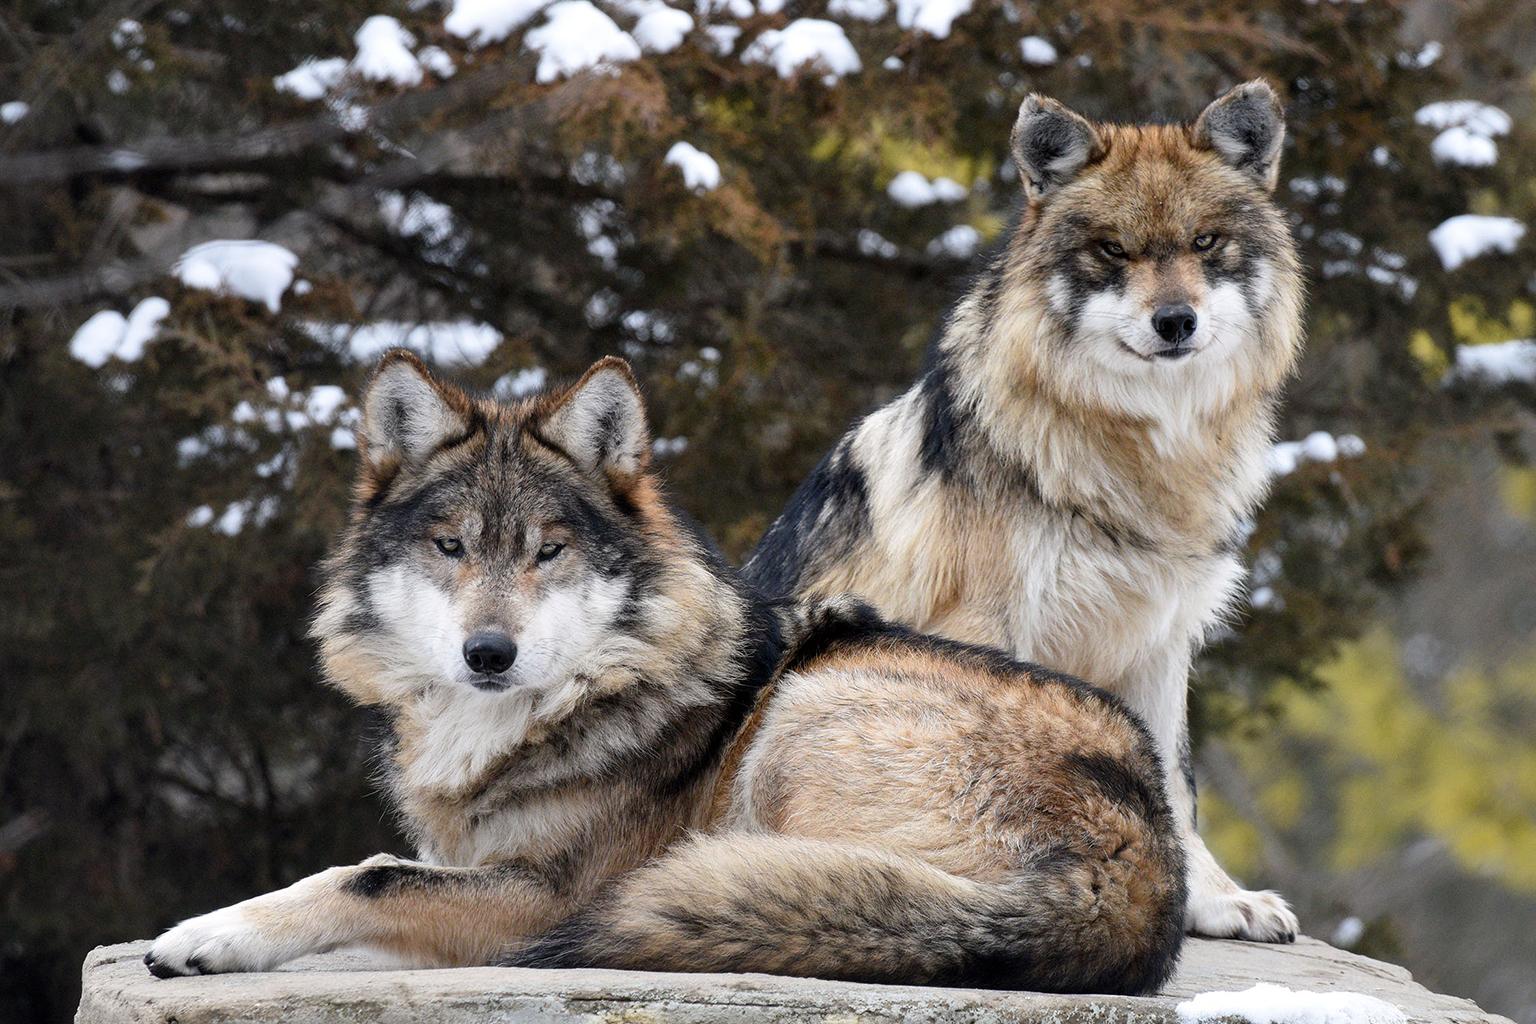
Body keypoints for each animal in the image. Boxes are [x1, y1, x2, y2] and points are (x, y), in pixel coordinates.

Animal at [144, 350, 1179, 994]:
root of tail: (1141, 875)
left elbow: (366, 876)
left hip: (806, 713)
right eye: (451, 547)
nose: (489, 652)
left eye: (548, 551)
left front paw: (206, 934)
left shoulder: (546, 895)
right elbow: (383, 878)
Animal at [743, 80, 1308, 945]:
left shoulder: (1160, 642)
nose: (1175, 321)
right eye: (1113, 251)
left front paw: (1214, 900)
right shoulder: (987, 625)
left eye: (1206, 242)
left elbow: (1177, 791)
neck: (1136, 460)